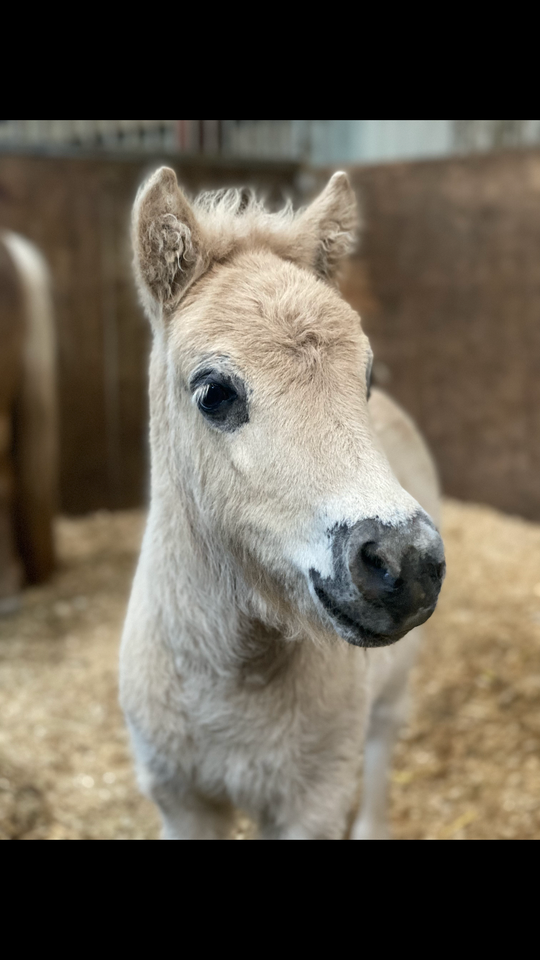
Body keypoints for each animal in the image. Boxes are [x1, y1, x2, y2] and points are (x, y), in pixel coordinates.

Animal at [120, 167, 446, 840]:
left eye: (364, 376)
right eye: (213, 393)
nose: (405, 564)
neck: (230, 680)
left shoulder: (312, 803)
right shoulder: (179, 798)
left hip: (392, 694)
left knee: (381, 749)